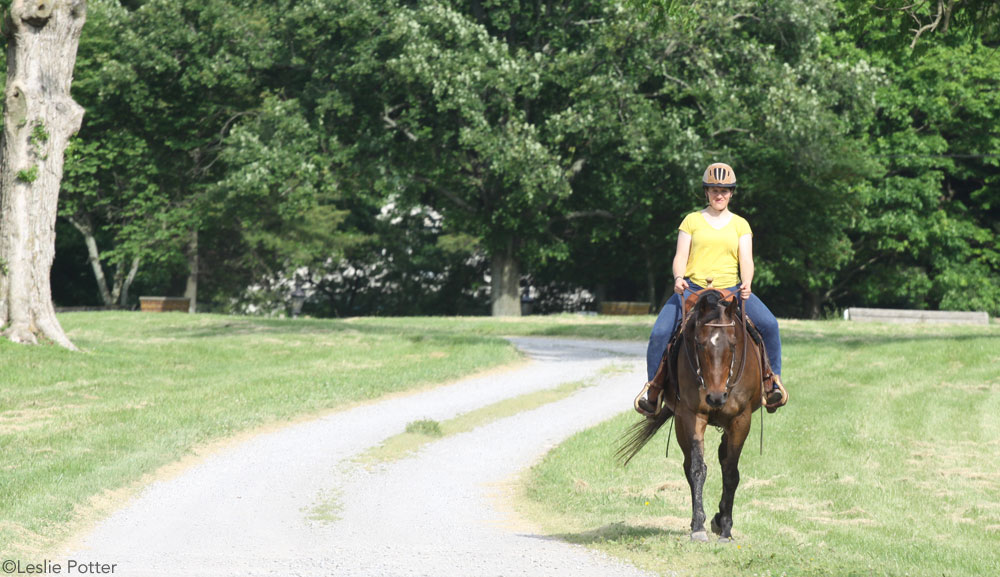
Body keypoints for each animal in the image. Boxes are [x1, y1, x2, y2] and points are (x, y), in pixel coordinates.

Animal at [616, 290, 764, 544]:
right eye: (699, 343)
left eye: (733, 344)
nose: (716, 397)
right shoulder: (691, 416)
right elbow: (697, 469)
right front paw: (698, 527)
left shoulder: (741, 419)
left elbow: (730, 472)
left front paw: (726, 528)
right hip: (680, 424)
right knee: (689, 465)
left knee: (724, 457)